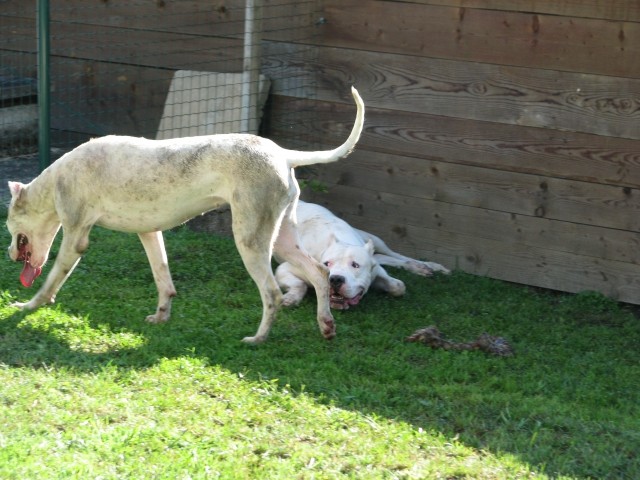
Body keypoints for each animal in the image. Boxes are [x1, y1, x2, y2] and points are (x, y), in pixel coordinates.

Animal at [5, 88, 364, 344]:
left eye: (9, 225)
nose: (9, 254)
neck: (56, 179)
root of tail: (282, 154)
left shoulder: (75, 238)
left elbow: (49, 282)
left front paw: (27, 306)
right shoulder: (150, 234)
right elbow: (164, 281)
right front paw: (161, 316)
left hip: (251, 242)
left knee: (272, 293)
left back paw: (258, 338)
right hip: (282, 241)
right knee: (319, 273)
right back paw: (326, 326)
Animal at [276, 202, 450, 308]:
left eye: (355, 265)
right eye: (327, 264)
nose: (335, 279)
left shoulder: (377, 270)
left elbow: (399, 286)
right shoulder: (285, 269)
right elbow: (300, 284)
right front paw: (292, 297)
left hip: (374, 239)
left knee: (396, 255)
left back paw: (425, 266)